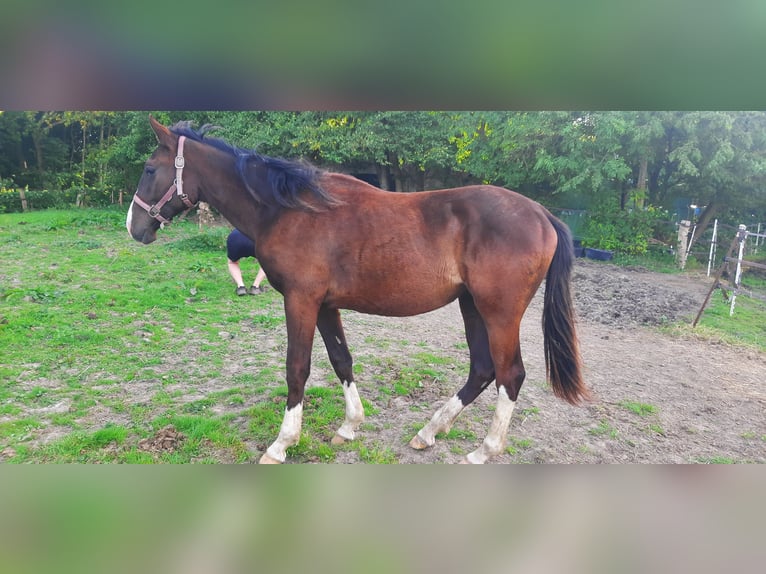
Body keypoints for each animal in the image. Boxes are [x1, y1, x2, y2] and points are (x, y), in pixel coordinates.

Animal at [129, 116, 592, 464]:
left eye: (150, 169)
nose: (135, 227)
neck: (289, 210)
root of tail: (542, 214)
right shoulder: (324, 305)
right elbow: (341, 360)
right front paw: (349, 427)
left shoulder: (300, 301)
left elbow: (297, 368)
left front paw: (282, 444)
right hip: (472, 306)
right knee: (482, 370)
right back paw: (429, 431)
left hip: (498, 312)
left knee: (510, 375)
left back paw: (484, 450)